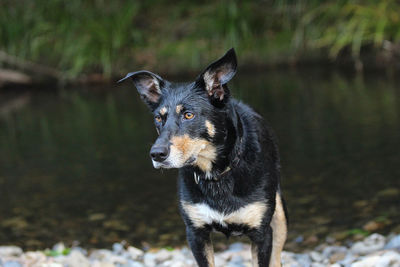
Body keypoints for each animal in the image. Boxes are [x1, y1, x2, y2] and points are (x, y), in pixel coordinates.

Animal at [119, 49, 288, 266]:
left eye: (188, 115)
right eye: (158, 118)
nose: (156, 154)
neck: (217, 174)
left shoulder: (261, 234)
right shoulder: (196, 233)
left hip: (280, 218)